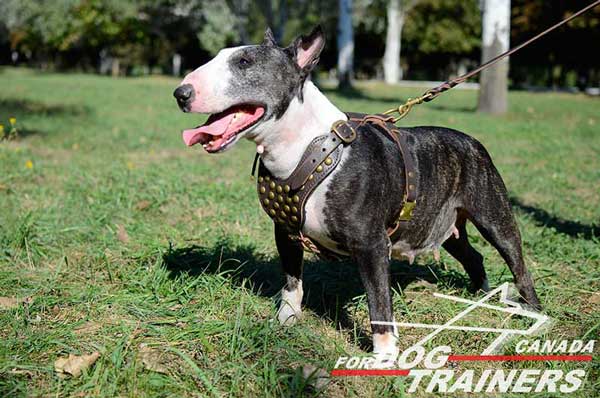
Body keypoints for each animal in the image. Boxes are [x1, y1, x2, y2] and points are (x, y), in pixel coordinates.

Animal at [173, 27, 544, 358]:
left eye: (245, 62)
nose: (181, 93)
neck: (310, 147)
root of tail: (472, 141)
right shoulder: (285, 233)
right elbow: (292, 284)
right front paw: (284, 323)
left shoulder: (371, 245)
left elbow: (378, 302)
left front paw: (384, 356)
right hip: (443, 223)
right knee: (474, 256)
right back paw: (482, 297)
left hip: (493, 214)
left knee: (517, 263)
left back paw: (535, 314)